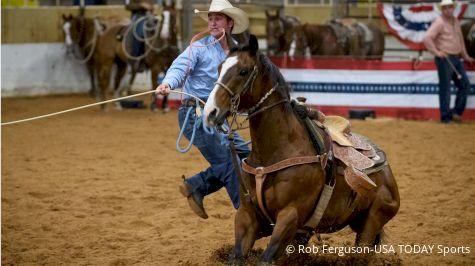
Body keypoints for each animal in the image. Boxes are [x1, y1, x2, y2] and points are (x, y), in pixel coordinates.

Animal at [203, 34, 400, 264]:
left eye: (243, 71)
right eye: (219, 68)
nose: (210, 112)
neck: (275, 152)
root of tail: (386, 172)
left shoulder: (290, 216)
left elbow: (266, 259)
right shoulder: (247, 216)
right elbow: (236, 256)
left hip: (373, 220)